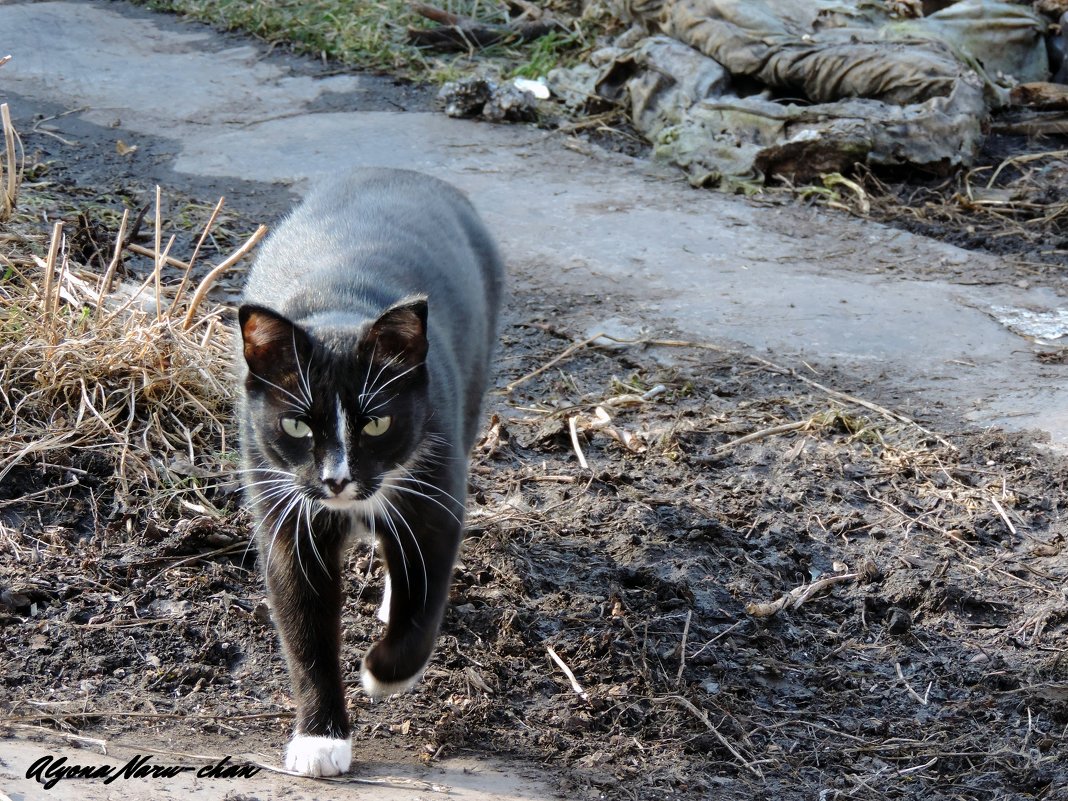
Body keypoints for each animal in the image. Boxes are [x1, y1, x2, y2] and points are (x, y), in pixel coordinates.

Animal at [236, 167, 501, 777]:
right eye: (297, 425)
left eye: (377, 423)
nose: (336, 480)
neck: (339, 304)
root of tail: (405, 174)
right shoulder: (285, 514)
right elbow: (305, 628)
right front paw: (319, 739)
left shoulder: (436, 493)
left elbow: (425, 595)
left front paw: (384, 672)